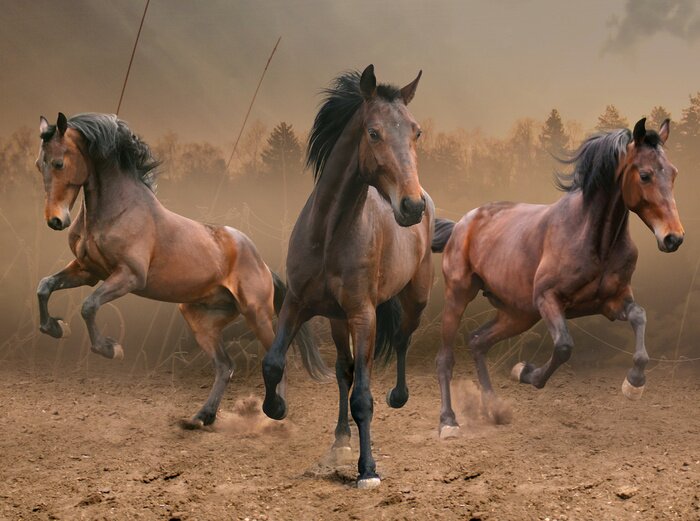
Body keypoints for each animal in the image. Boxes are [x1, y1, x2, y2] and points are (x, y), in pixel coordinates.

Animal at [34, 112, 327, 428]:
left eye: (59, 163)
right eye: (39, 164)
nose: (55, 220)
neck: (118, 210)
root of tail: (262, 264)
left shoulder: (129, 276)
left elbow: (89, 306)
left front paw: (110, 349)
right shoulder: (88, 272)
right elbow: (45, 286)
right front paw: (55, 328)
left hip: (256, 312)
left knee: (272, 357)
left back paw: (275, 410)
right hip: (200, 318)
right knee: (225, 366)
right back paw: (202, 417)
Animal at [260, 65, 433, 488]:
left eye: (416, 132)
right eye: (373, 132)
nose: (412, 206)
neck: (329, 235)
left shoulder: (363, 315)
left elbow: (363, 398)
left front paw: (367, 469)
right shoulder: (297, 303)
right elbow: (274, 362)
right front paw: (277, 407)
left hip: (414, 298)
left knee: (401, 339)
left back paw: (398, 397)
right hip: (337, 321)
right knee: (344, 370)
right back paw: (340, 438)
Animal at [431, 118, 684, 439]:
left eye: (673, 172)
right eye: (645, 175)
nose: (673, 238)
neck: (594, 240)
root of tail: (461, 225)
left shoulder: (612, 302)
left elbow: (640, 317)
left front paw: (633, 384)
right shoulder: (548, 299)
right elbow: (564, 346)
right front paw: (526, 372)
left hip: (518, 314)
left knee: (478, 342)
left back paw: (494, 409)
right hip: (459, 295)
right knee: (445, 358)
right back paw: (448, 422)